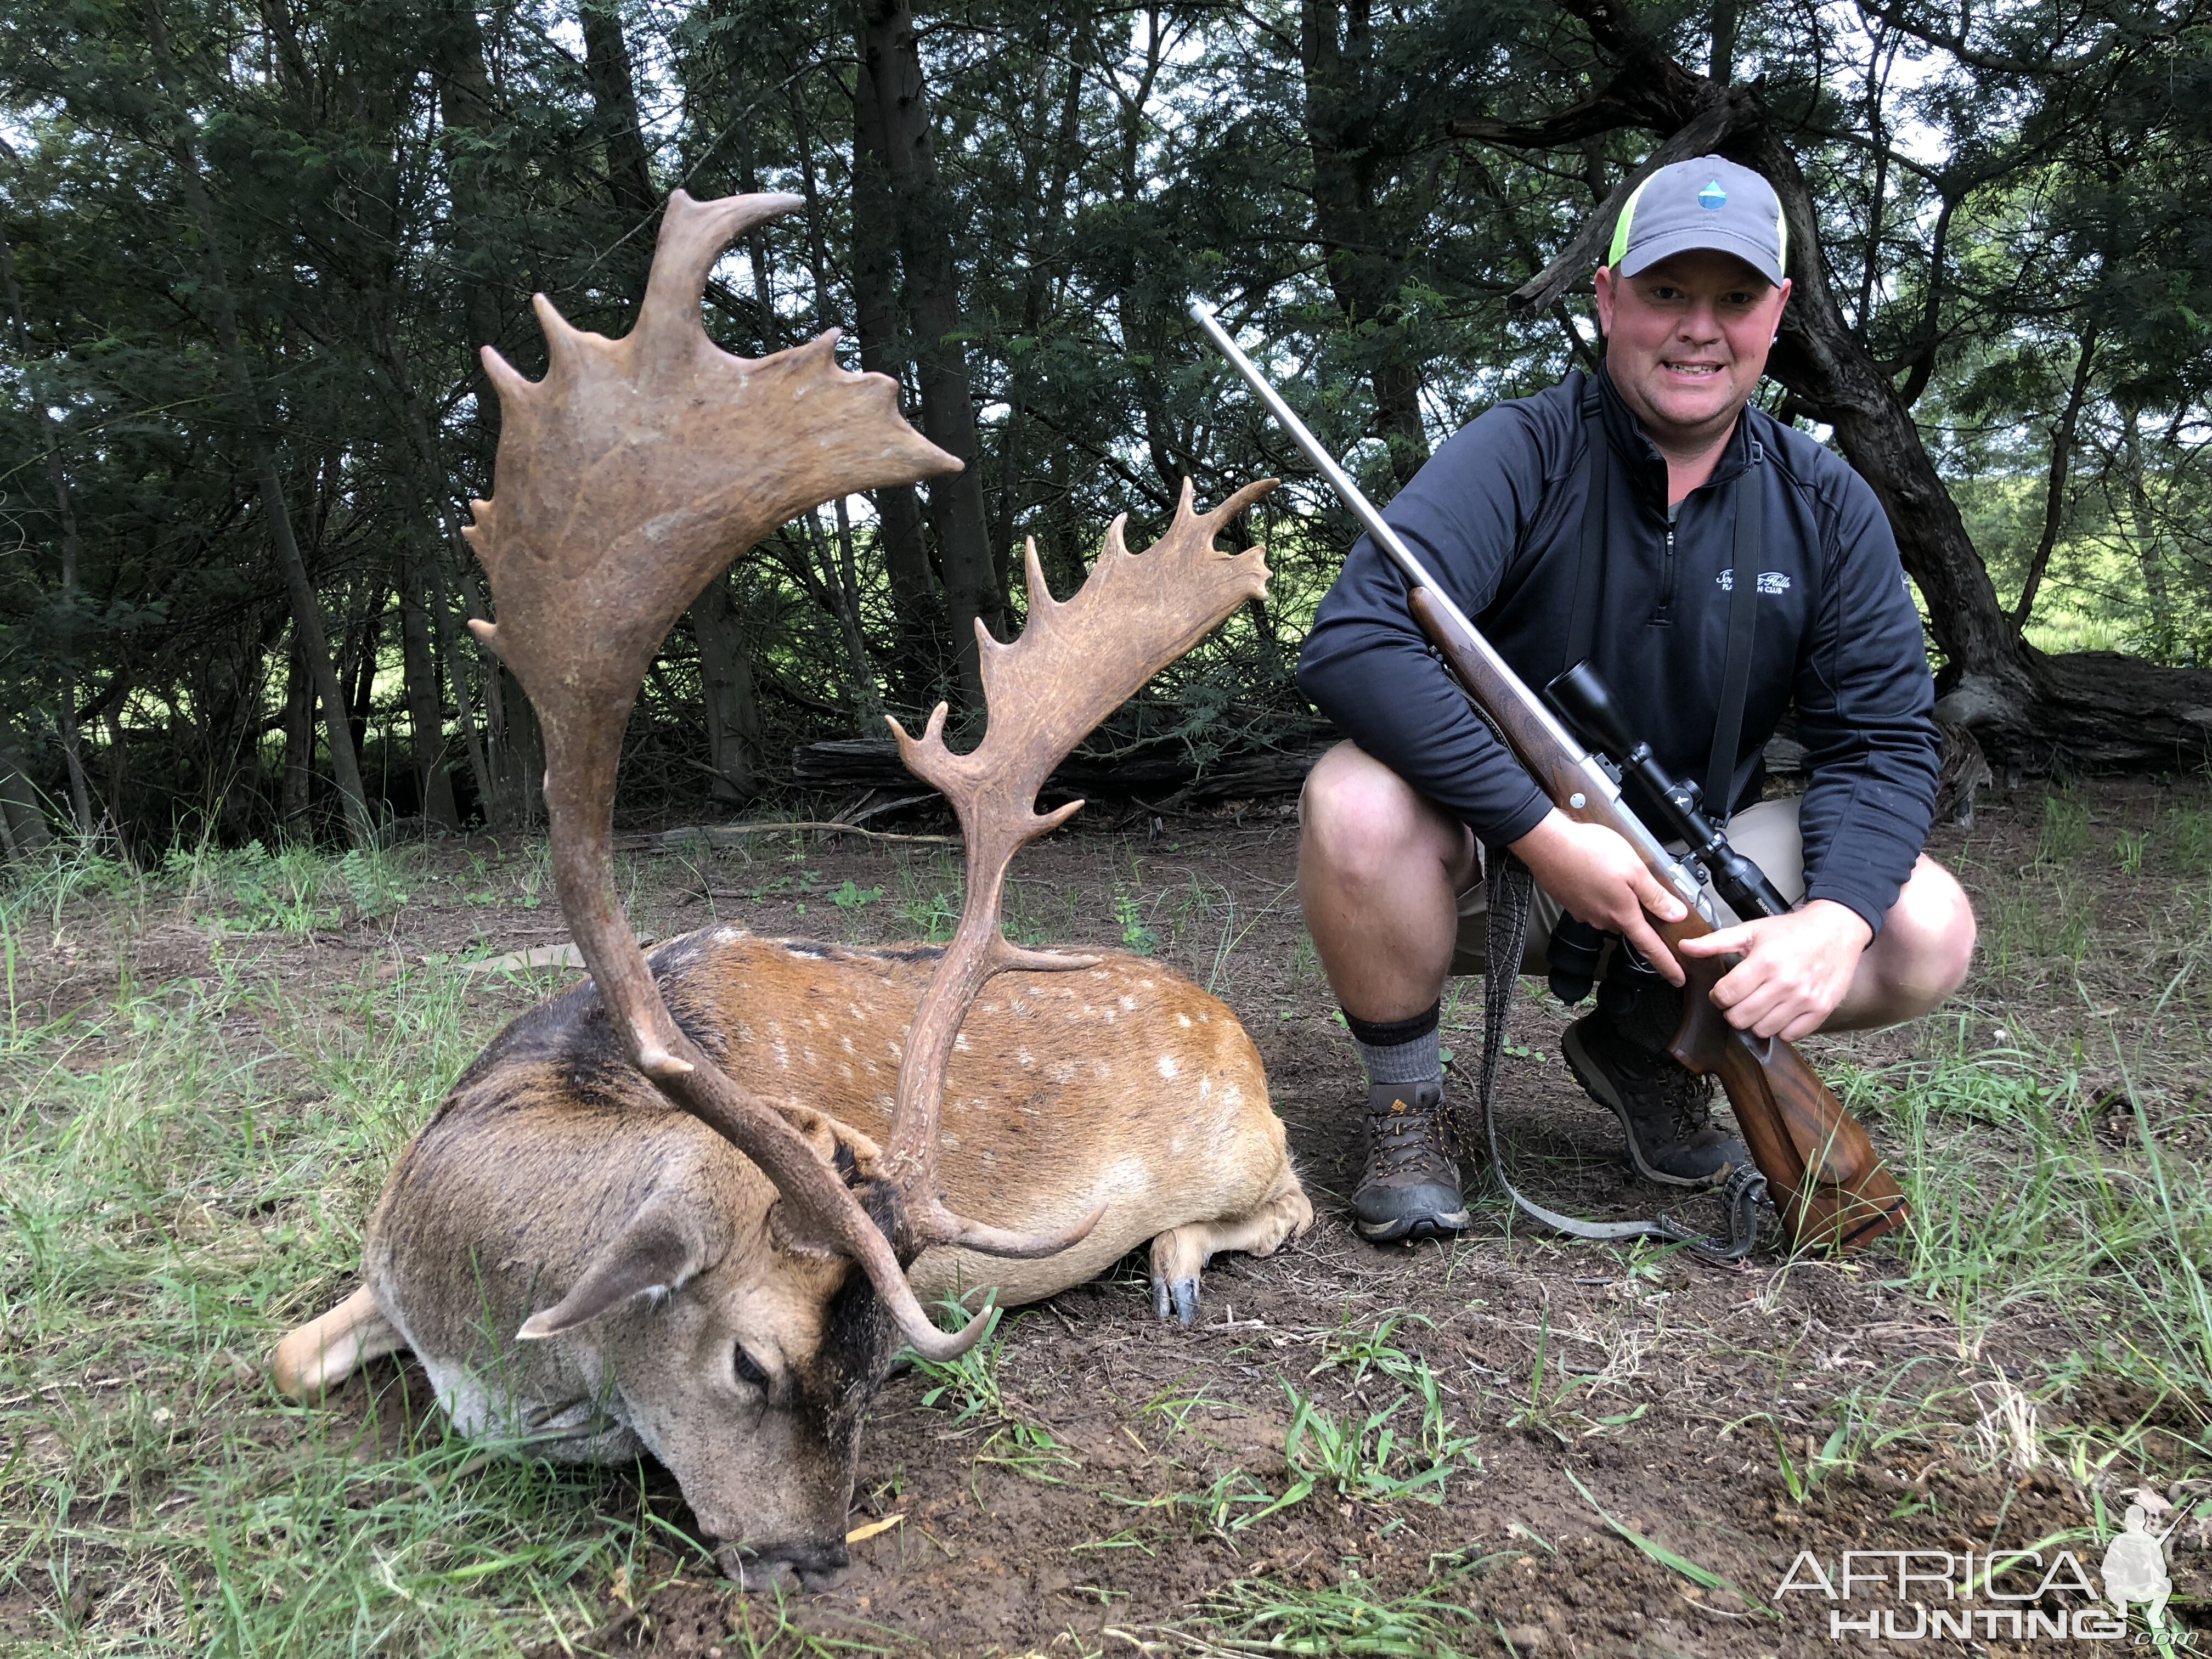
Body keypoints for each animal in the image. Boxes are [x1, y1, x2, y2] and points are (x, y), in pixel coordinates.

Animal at [274, 188, 1309, 1593]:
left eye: (879, 1368)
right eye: (751, 1361)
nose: (814, 1555)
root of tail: (1233, 1023)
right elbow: (286, 1357)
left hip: (1245, 1142)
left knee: (1294, 1197)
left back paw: (1179, 1263)